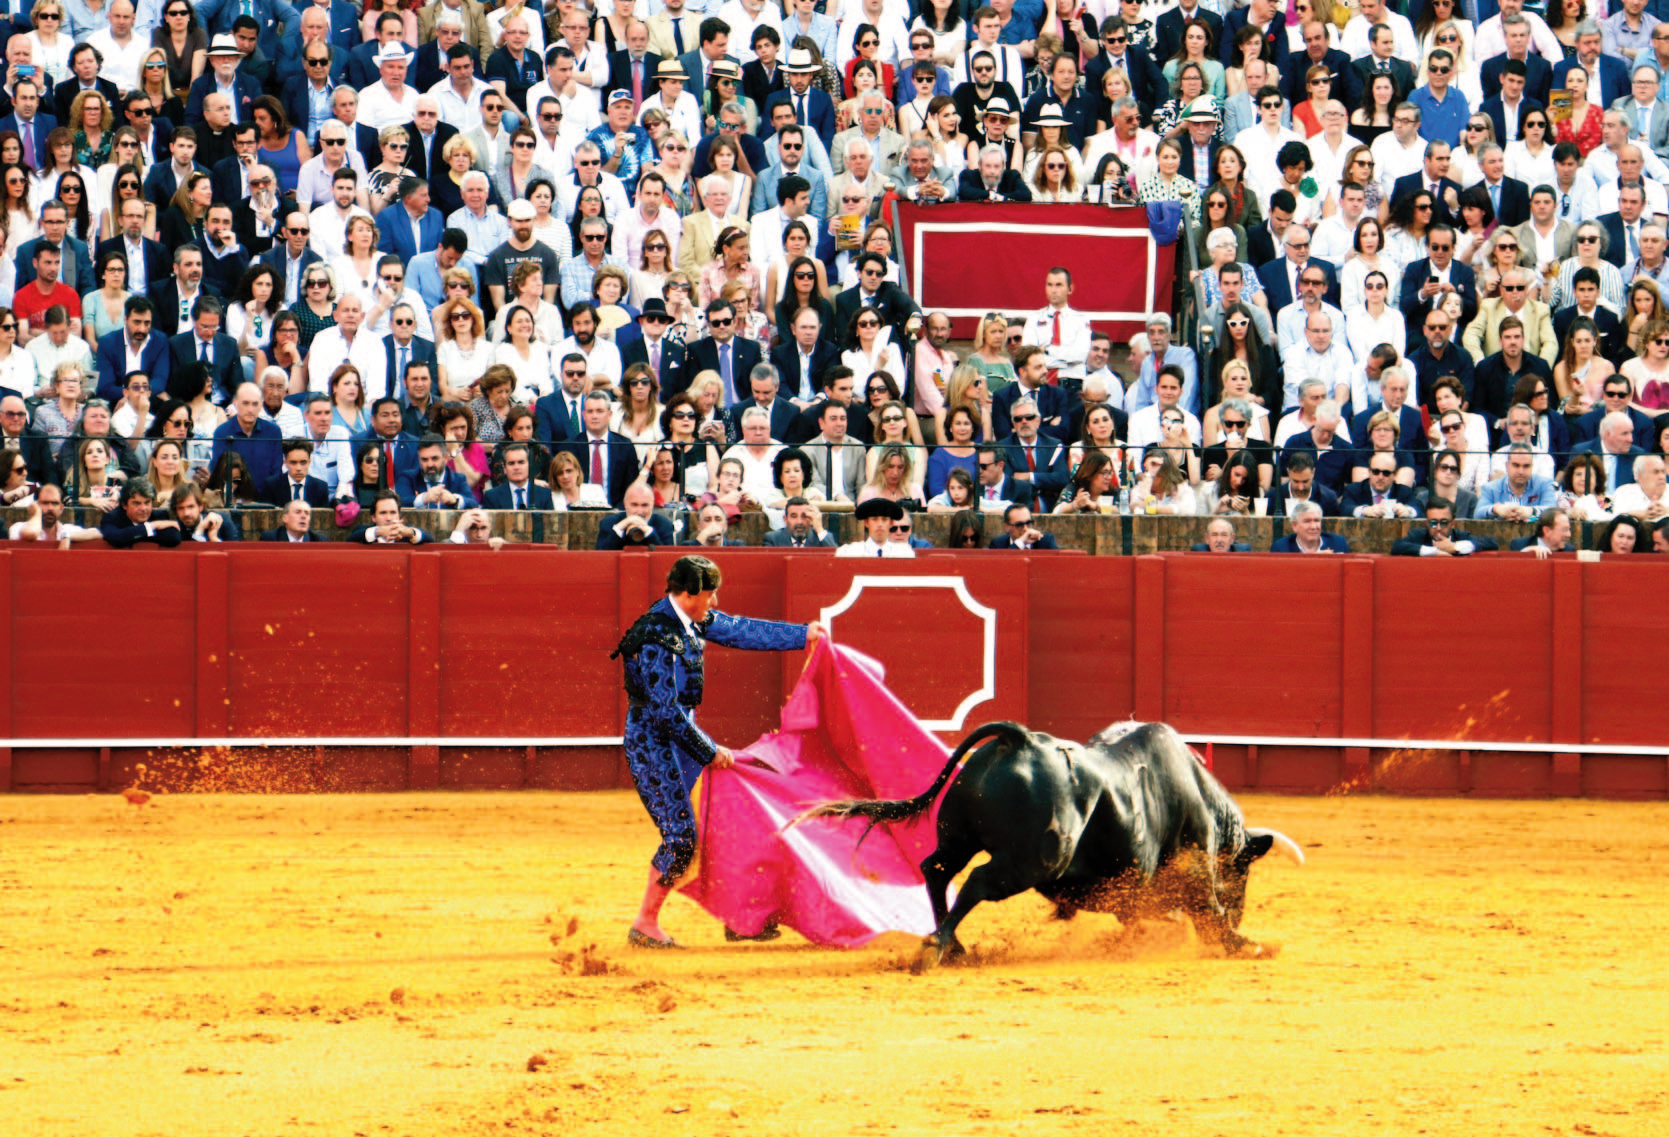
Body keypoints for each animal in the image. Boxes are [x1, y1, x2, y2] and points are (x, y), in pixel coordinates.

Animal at [796, 720, 1304, 968]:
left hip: (959, 836)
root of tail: (1019, 740)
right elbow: (1205, 910)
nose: (1242, 913)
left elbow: (1147, 914)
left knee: (937, 870)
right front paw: (1245, 943)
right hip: (1033, 860)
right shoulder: (1191, 865)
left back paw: (954, 945)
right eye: (1243, 875)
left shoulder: (1129, 889)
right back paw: (938, 947)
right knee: (976, 882)